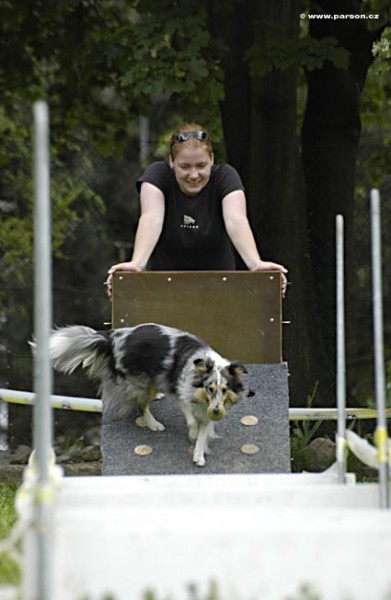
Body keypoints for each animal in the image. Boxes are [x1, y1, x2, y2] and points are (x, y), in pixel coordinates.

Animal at [47, 326, 254, 466]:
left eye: (225, 390)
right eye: (210, 388)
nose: (217, 411)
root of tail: (112, 338)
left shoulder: (207, 410)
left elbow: (204, 432)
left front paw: (199, 454)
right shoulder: (181, 393)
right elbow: (191, 420)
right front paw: (193, 433)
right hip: (144, 383)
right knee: (141, 405)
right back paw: (154, 423)